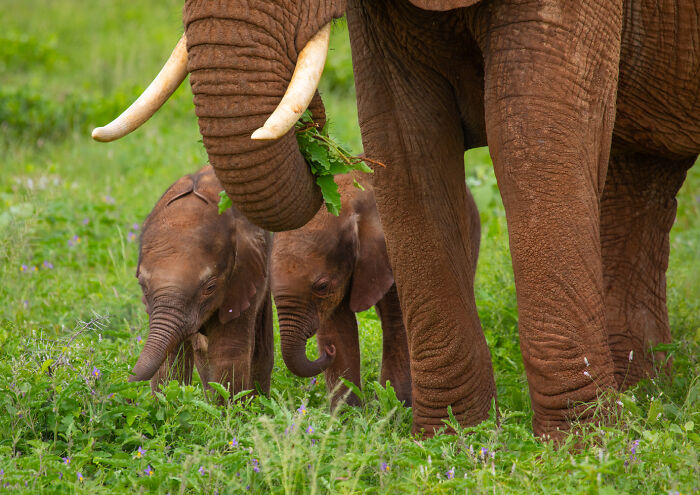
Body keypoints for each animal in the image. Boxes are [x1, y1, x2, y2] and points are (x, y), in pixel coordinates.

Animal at [132, 165, 273, 398]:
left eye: (210, 287)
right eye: (143, 287)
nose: (129, 378)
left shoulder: (242, 278)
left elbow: (227, 352)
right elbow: (170, 355)